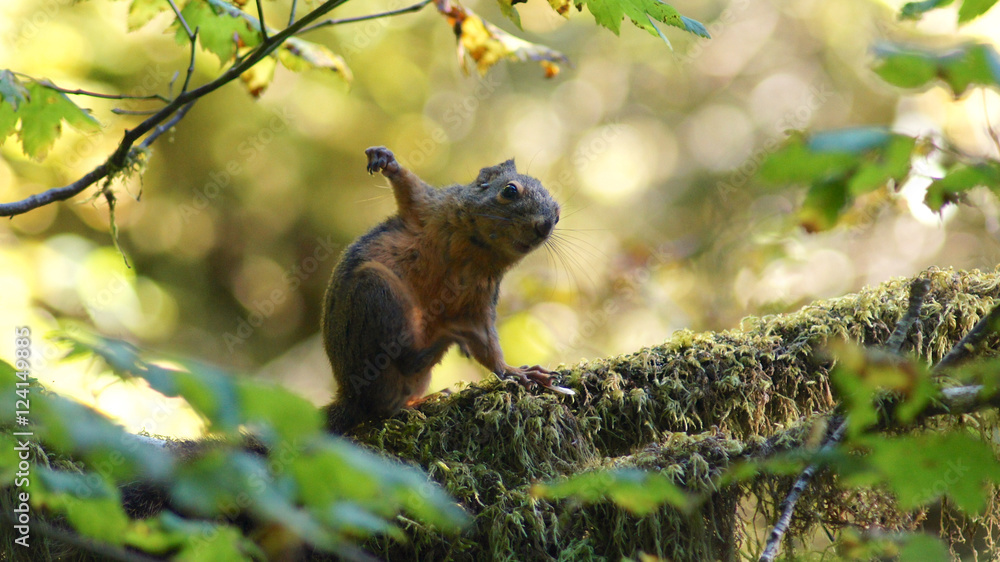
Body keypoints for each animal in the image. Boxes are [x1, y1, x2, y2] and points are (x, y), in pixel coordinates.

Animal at [321, 146, 573, 434]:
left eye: (557, 216)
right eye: (510, 190)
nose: (544, 226)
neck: (476, 247)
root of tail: (352, 397)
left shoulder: (480, 298)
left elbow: (487, 343)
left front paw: (512, 371)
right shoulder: (431, 207)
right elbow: (410, 189)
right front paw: (386, 161)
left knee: (392, 402)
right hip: (374, 289)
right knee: (398, 366)